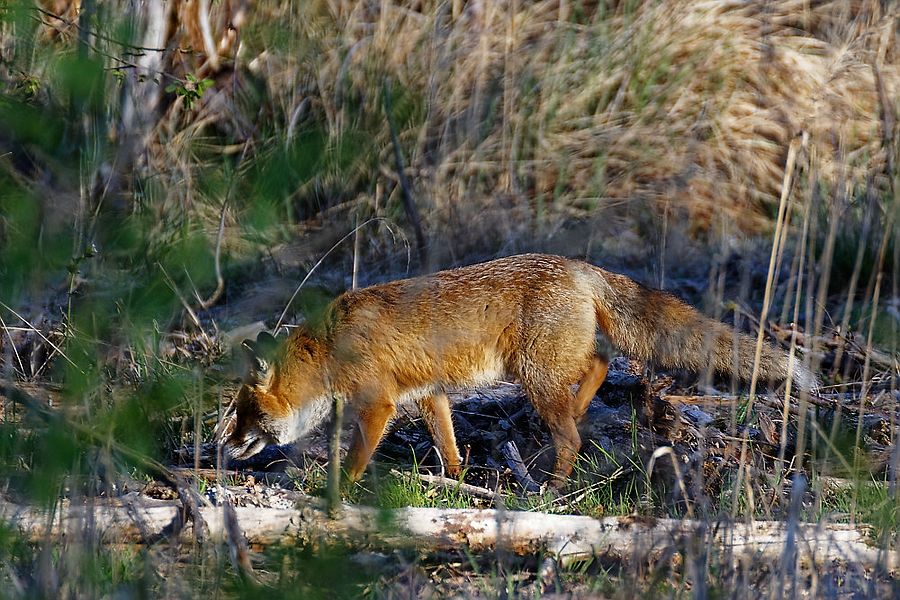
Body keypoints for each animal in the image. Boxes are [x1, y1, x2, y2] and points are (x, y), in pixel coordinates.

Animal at [221, 253, 816, 487]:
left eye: (242, 412)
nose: (223, 446)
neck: (328, 349)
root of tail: (579, 266)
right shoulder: (428, 394)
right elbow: (449, 446)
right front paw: (457, 486)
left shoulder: (380, 404)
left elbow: (351, 461)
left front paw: (334, 495)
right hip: (547, 368)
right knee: (600, 361)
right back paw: (576, 412)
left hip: (533, 374)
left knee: (574, 433)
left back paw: (552, 489)